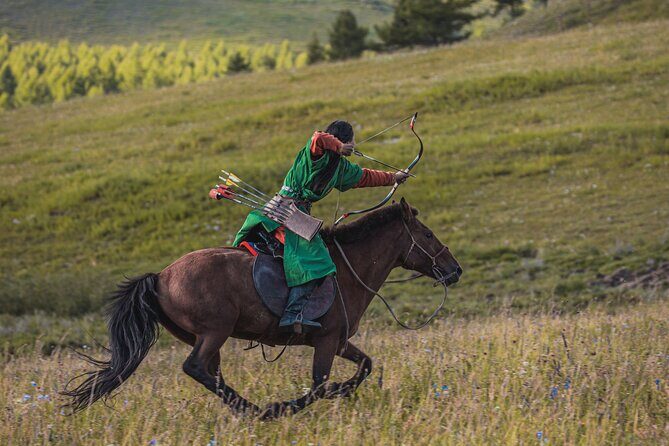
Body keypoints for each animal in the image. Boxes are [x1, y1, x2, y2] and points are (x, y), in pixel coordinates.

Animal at [63, 198, 462, 419]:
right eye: (427, 235)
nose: (454, 269)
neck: (348, 269)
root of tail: (160, 276)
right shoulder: (326, 342)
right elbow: (319, 385)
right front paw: (284, 407)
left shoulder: (339, 341)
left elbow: (365, 365)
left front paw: (343, 391)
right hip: (215, 331)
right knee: (196, 368)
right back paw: (257, 412)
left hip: (203, 337)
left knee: (211, 375)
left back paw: (244, 411)